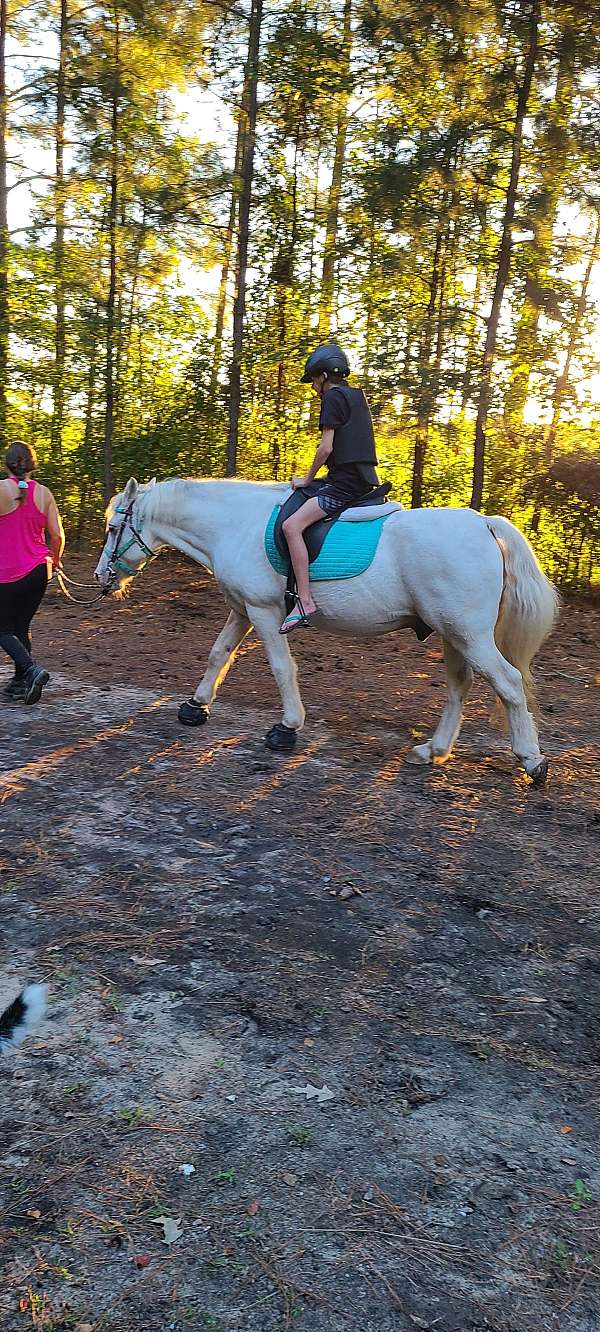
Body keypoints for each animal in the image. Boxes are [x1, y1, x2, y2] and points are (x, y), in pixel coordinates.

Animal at [94, 479, 557, 783]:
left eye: (114, 529)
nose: (102, 578)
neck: (235, 524)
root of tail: (484, 524)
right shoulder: (242, 609)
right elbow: (218, 654)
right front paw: (195, 706)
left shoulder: (264, 612)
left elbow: (282, 668)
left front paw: (287, 728)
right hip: (453, 634)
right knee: (460, 686)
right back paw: (434, 750)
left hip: (468, 635)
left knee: (508, 683)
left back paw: (532, 760)